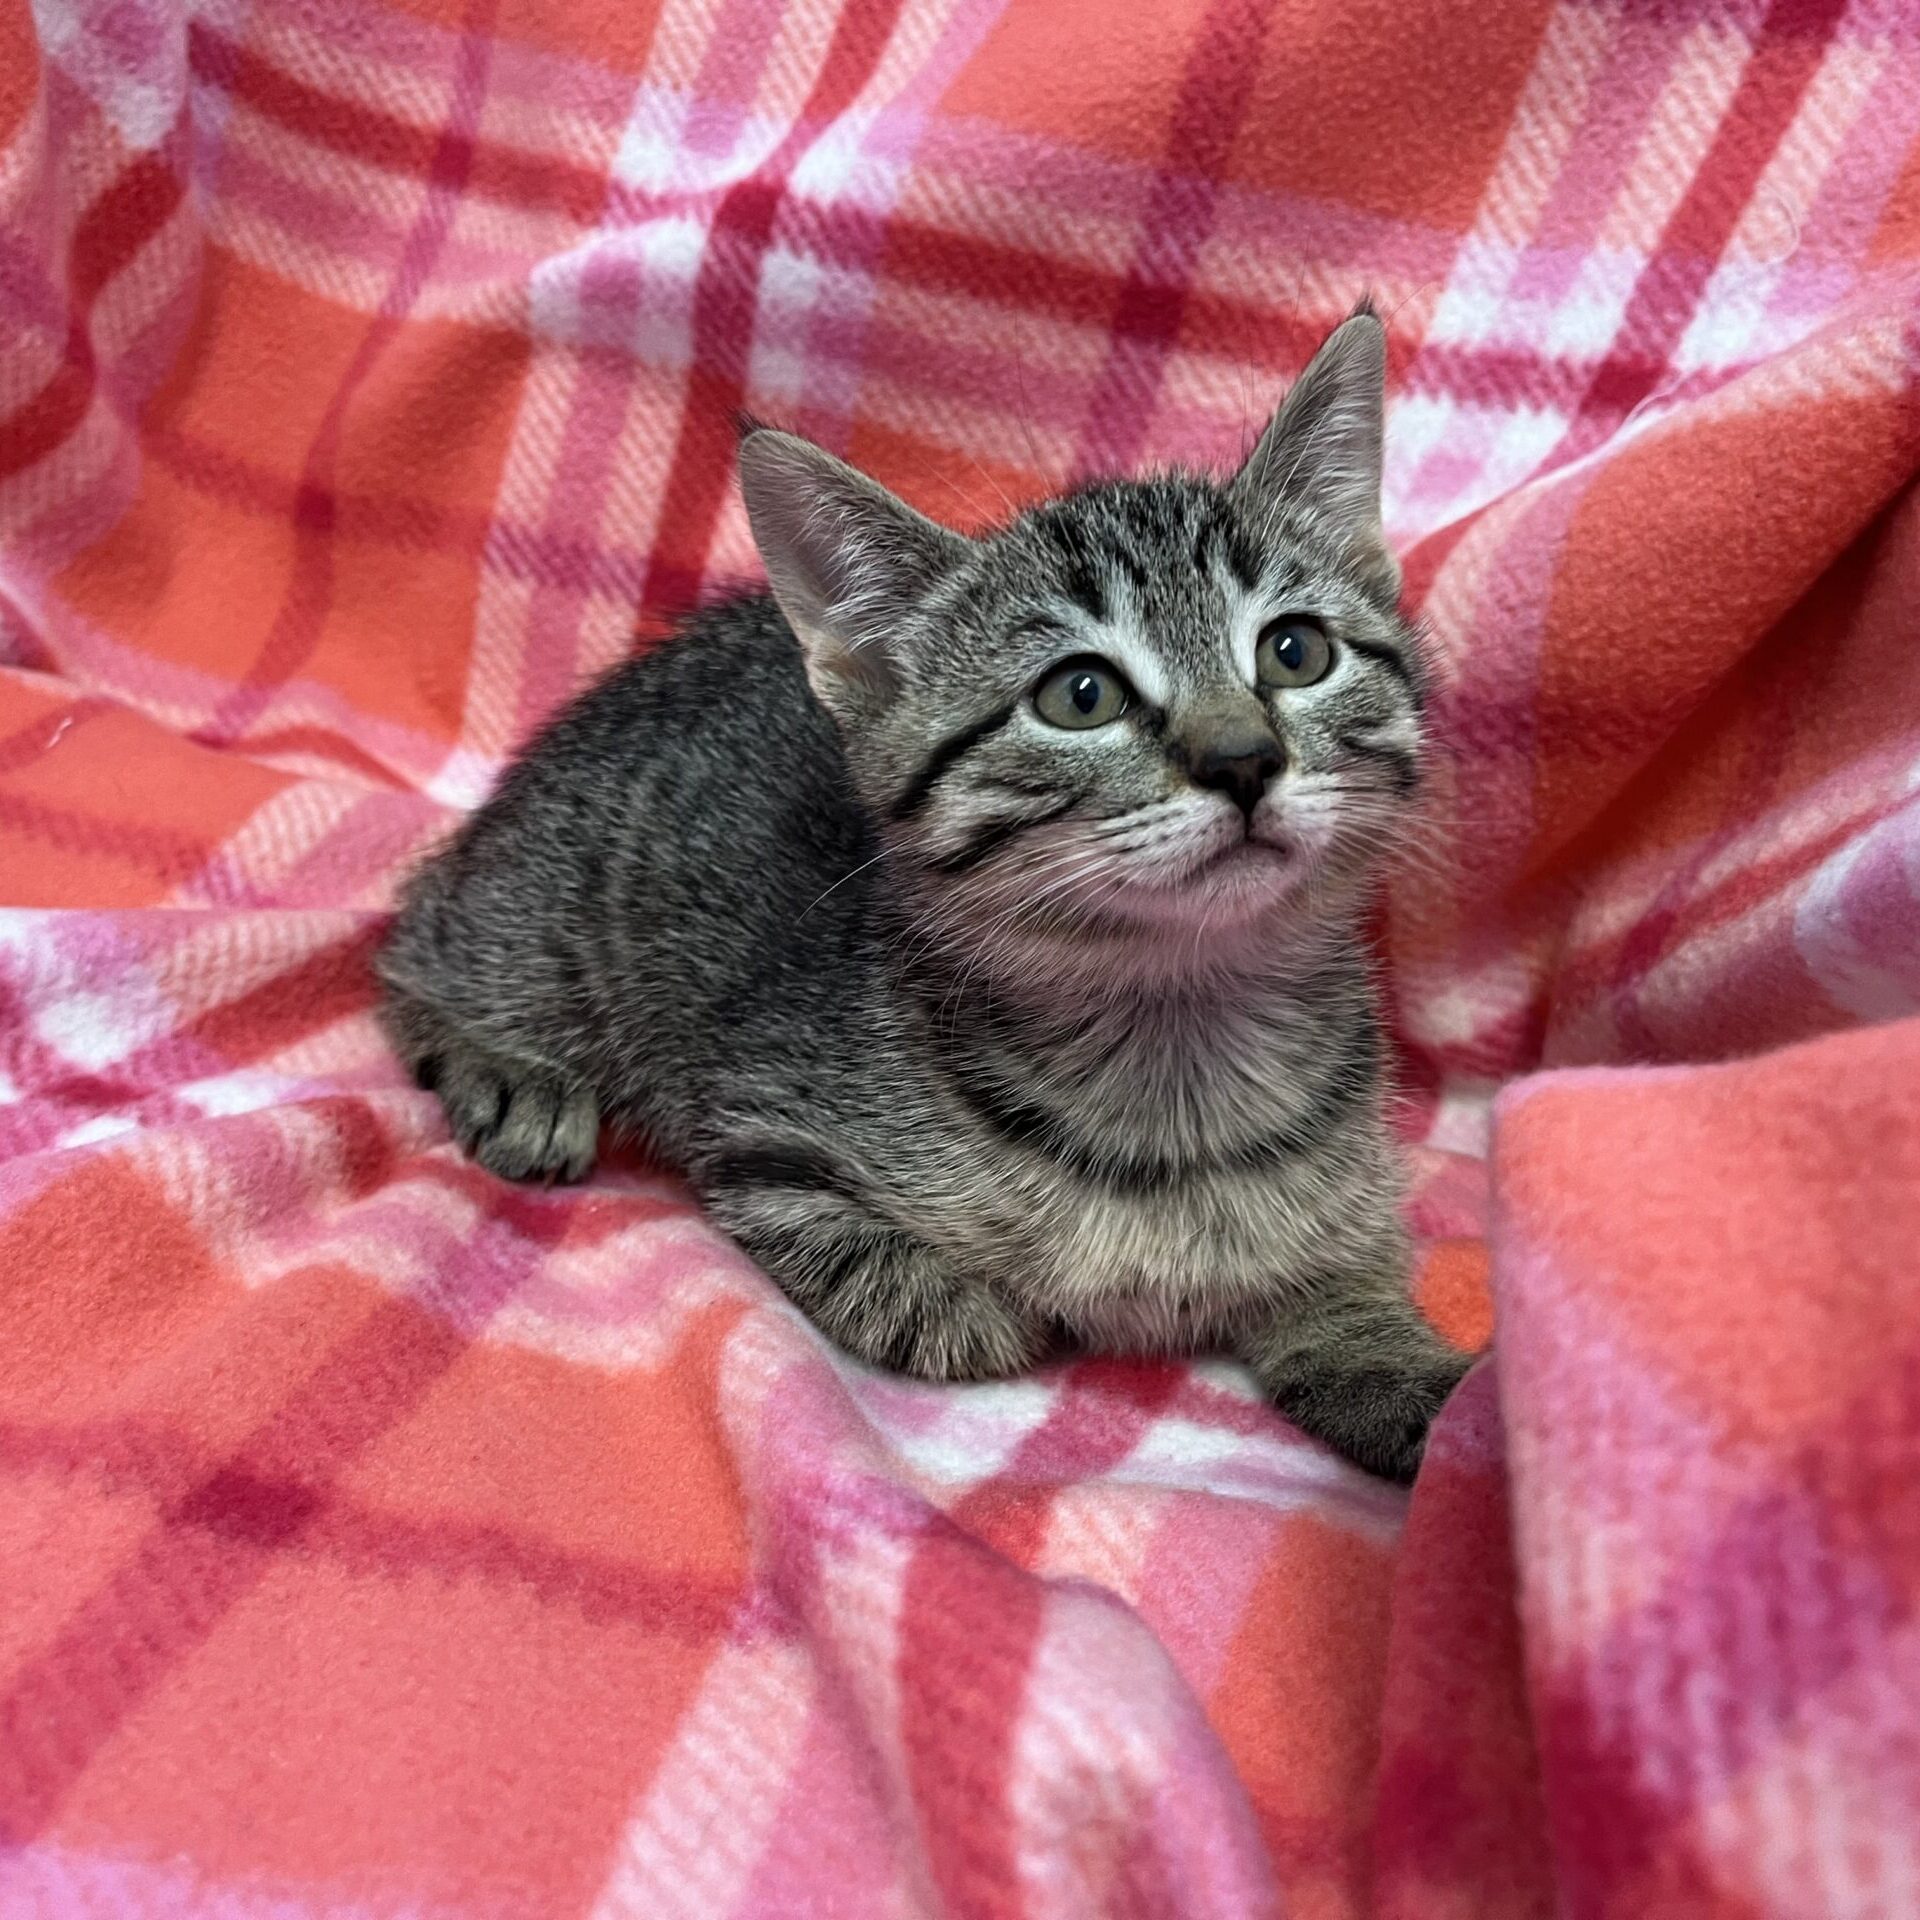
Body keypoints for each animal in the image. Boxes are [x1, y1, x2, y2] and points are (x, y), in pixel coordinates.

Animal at [378, 304, 1473, 1481]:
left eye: (1296, 650)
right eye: (1080, 694)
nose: (1243, 758)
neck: (1178, 1039)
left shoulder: (1349, 1208)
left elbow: (1353, 1300)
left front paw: (1437, 1402)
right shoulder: (761, 1136)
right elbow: (923, 1299)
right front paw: (970, 1302)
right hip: (548, 915)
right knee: (408, 945)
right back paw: (507, 1072)